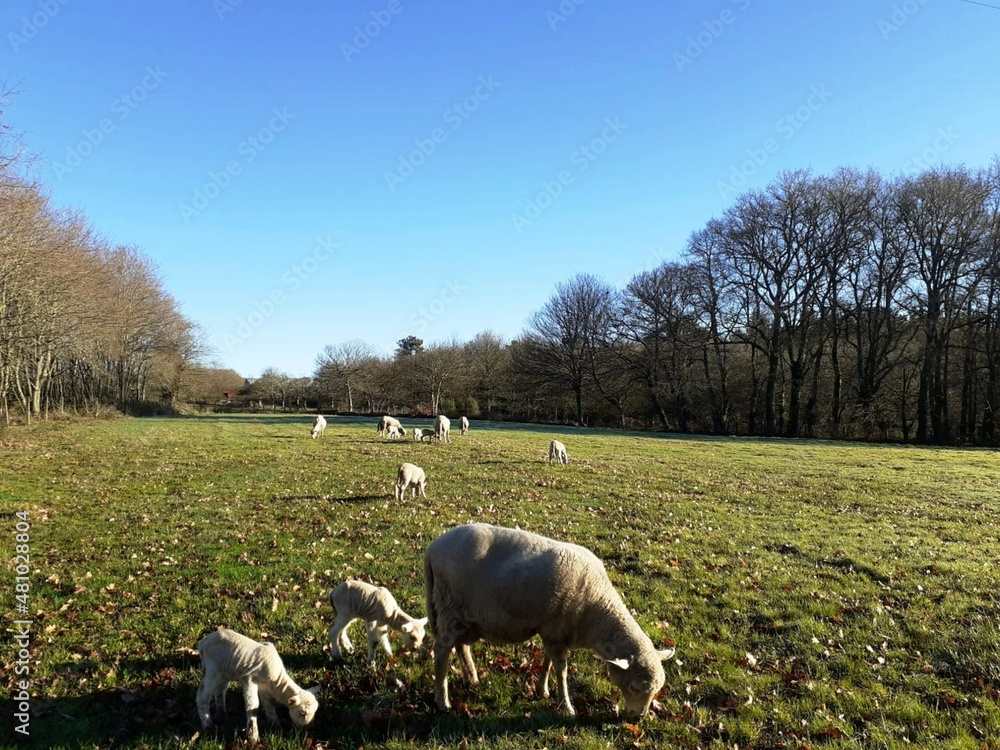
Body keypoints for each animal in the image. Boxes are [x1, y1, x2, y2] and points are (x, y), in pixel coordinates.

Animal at [424, 523, 674, 718]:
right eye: (634, 687)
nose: (639, 718)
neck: (596, 610)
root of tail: (433, 547)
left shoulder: (553, 631)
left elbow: (547, 662)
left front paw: (541, 689)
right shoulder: (556, 633)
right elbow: (562, 671)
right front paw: (566, 707)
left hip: (464, 616)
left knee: (460, 645)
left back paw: (472, 678)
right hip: (449, 606)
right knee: (442, 651)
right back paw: (442, 701)